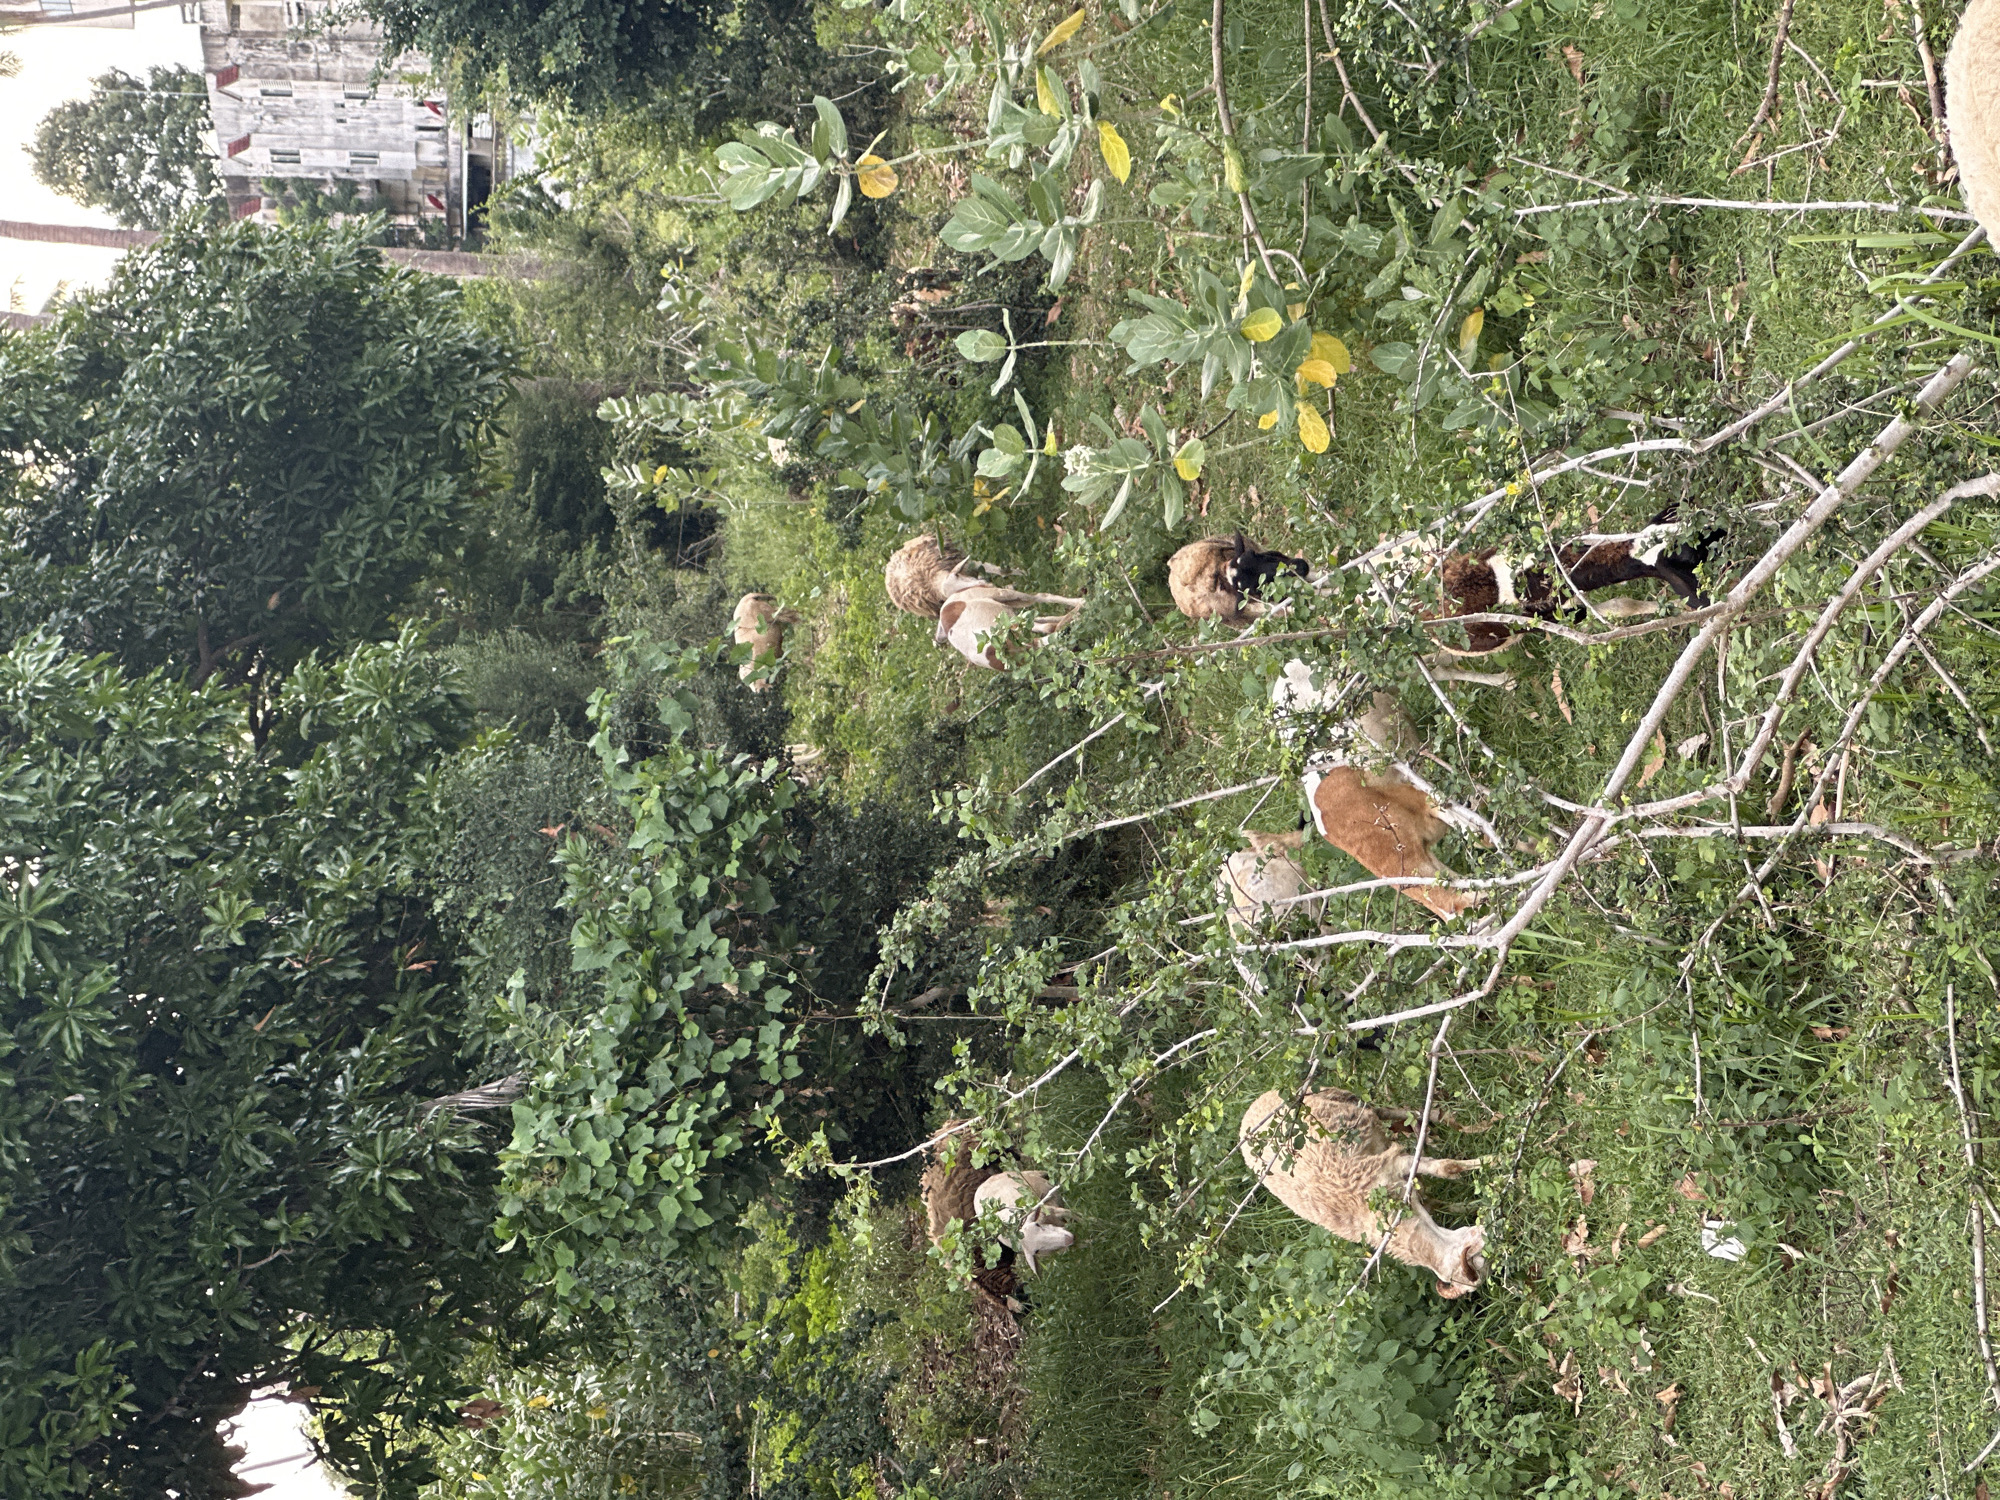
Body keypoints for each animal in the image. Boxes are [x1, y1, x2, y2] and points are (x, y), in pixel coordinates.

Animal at [1239, 1088, 1487, 1298]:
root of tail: (1250, 1110)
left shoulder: (1393, 1167)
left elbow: (1444, 1168)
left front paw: (1491, 1161)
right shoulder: (1395, 1171)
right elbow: (1444, 1175)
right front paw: (1475, 1194)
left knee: (1382, 1111)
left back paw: (1441, 1118)